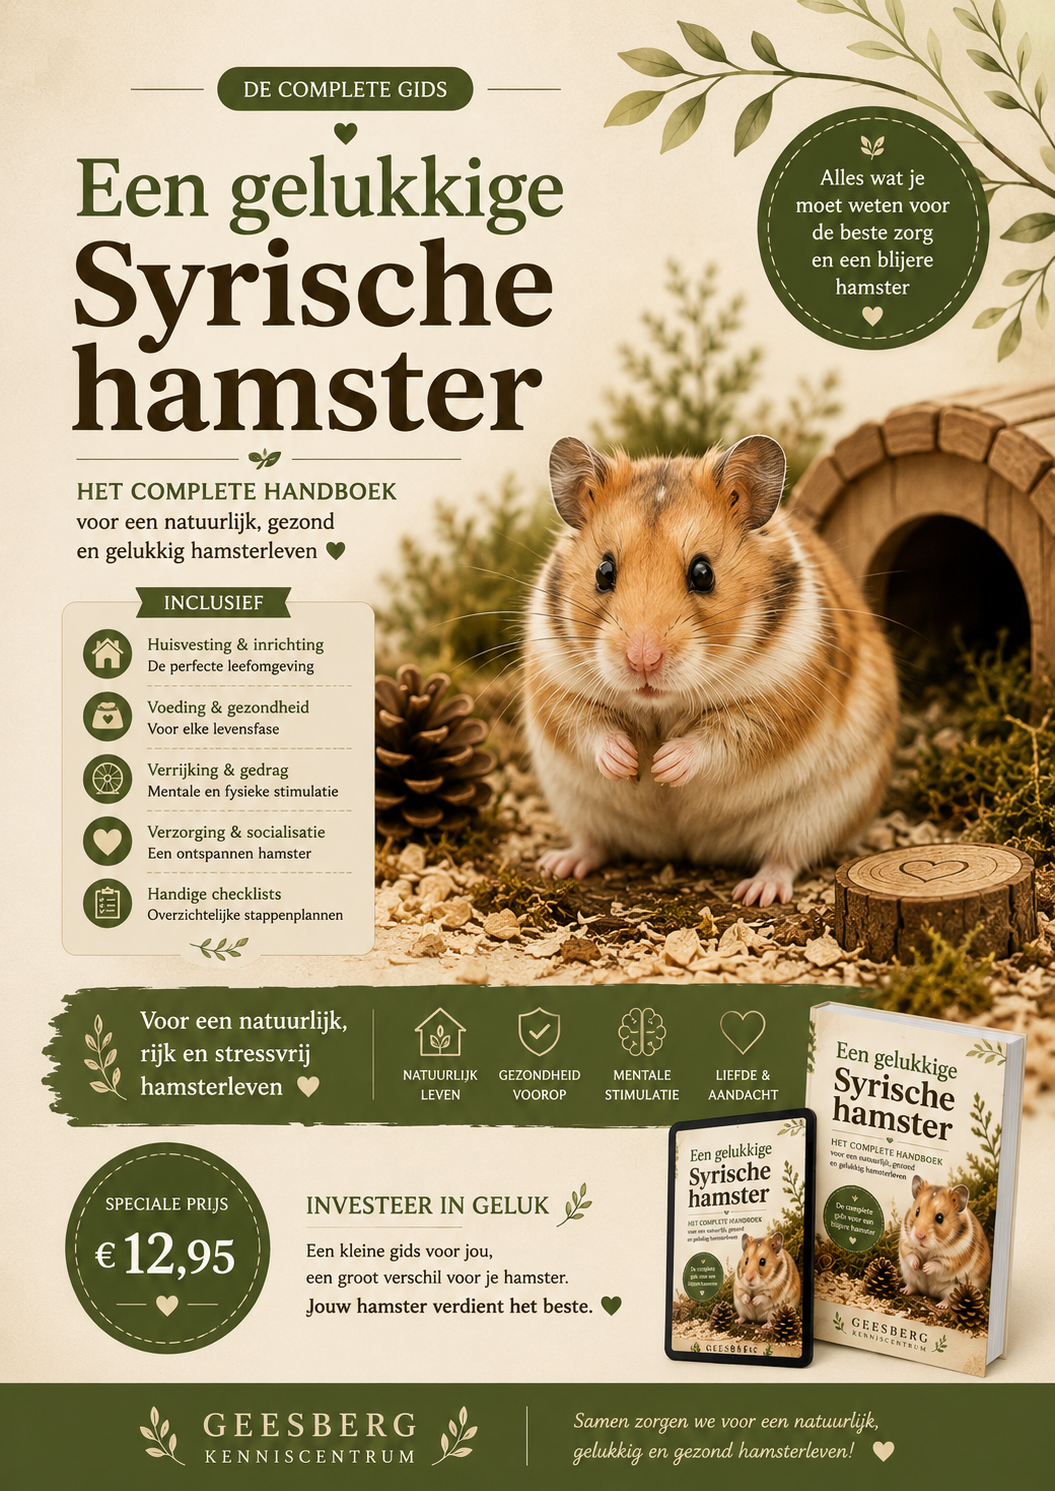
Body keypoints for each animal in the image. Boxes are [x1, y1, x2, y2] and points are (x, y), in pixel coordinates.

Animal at [525, 436, 899, 905]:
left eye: (703, 574)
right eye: (603, 572)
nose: (642, 660)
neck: (661, 707)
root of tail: (691, 850)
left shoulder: (776, 703)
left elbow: (718, 739)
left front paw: (663, 766)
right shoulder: (558, 687)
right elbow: (590, 728)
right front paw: (628, 761)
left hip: (817, 814)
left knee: (785, 856)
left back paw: (757, 892)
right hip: (576, 806)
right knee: (595, 842)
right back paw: (557, 865)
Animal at [899, 1174, 992, 1305]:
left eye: (940, 1218)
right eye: (917, 1211)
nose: (919, 1236)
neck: (929, 1249)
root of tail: (929, 1293)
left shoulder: (952, 1260)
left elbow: (937, 1264)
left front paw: (925, 1268)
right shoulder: (905, 1243)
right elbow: (911, 1255)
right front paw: (917, 1265)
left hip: (956, 1288)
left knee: (949, 1299)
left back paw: (941, 1305)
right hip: (909, 1276)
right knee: (912, 1286)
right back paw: (904, 1290)